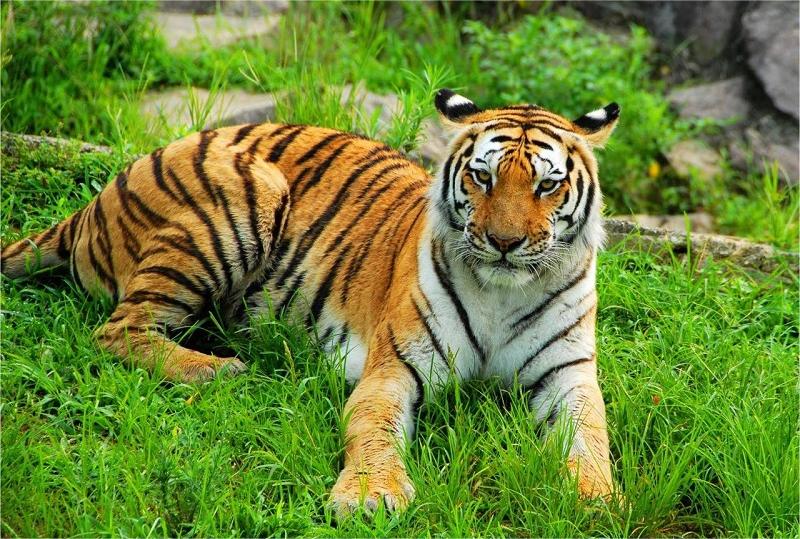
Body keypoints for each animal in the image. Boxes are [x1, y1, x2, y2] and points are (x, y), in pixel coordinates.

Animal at [1, 89, 620, 515]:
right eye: (482, 177)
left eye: (546, 185)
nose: (503, 242)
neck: (501, 293)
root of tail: (105, 190)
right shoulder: (394, 369)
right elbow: (373, 428)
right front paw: (370, 497)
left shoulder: (567, 374)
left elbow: (592, 436)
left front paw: (597, 499)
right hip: (246, 194)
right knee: (117, 330)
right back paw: (219, 371)